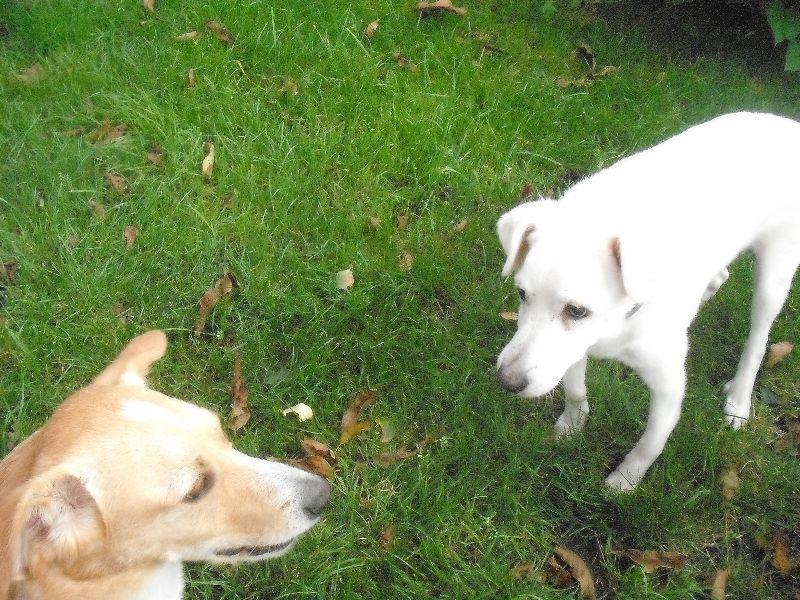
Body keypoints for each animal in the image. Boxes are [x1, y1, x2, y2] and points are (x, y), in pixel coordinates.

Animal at [496, 111, 800, 490]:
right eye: (522, 294)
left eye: (577, 310)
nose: (507, 382)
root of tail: (790, 125)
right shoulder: (574, 349)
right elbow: (575, 390)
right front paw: (572, 425)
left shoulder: (669, 385)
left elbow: (650, 444)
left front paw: (624, 482)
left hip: (775, 273)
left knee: (758, 340)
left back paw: (739, 400)